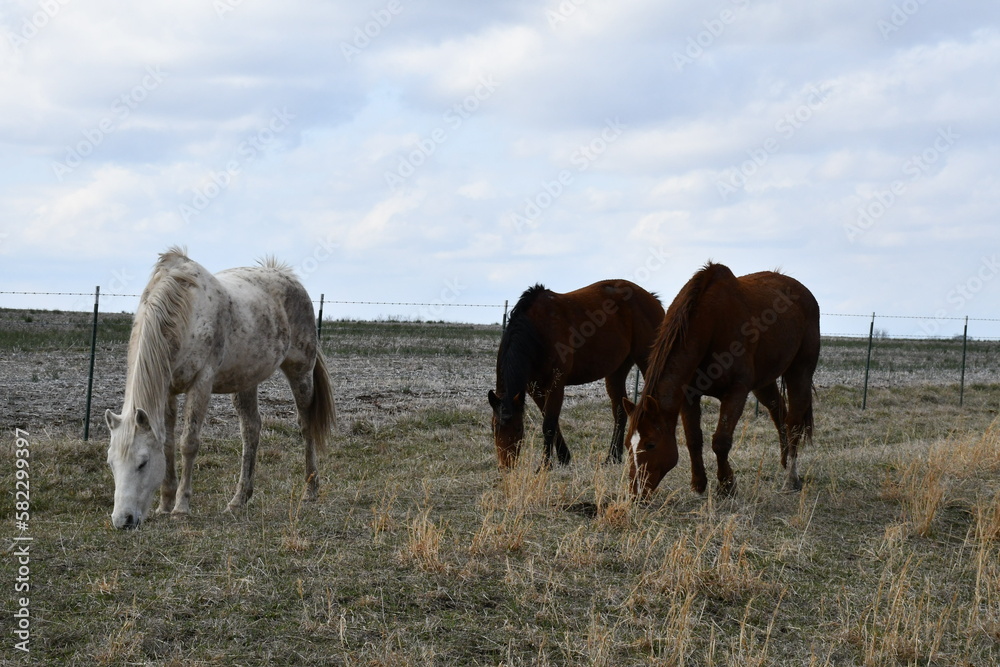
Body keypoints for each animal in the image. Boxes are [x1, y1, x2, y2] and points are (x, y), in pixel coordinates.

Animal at [104, 247, 337, 529]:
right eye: (111, 463)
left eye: (143, 463)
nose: (122, 520)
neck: (184, 310)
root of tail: (287, 277)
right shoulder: (168, 391)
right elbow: (168, 443)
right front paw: (165, 504)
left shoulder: (201, 383)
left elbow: (188, 443)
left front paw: (181, 507)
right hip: (246, 379)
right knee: (251, 430)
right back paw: (239, 499)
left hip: (300, 372)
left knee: (306, 425)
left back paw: (310, 490)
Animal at [487, 279, 664, 469]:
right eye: (494, 427)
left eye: (519, 428)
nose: (506, 466)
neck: (537, 330)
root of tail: (652, 299)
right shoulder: (534, 388)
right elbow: (551, 420)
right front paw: (563, 457)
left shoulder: (556, 385)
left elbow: (548, 424)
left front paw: (545, 465)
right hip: (616, 371)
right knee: (620, 411)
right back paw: (612, 457)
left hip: (647, 361)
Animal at [623, 262, 819, 498]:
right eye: (627, 445)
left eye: (651, 444)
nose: (635, 493)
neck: (711, 322)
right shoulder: (689, 395)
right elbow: (693, 439)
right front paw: (698, 485)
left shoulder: (736, 391)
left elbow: (721, 441)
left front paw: (726, 485)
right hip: (764, 382)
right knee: (778, 411)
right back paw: (783, 463)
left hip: (800, 371)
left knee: (794, 422)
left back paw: (791, 478)